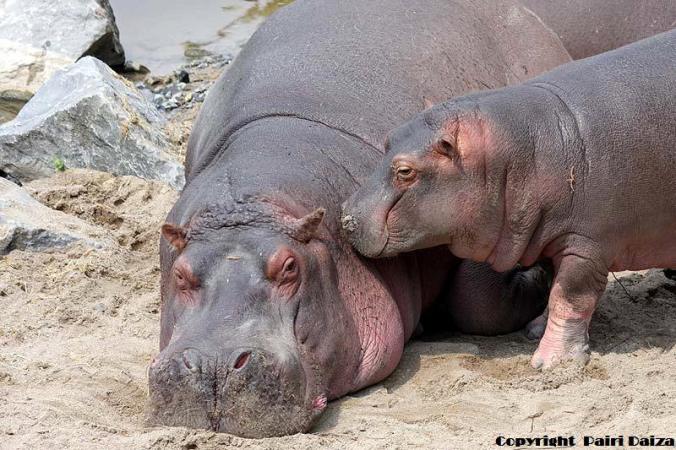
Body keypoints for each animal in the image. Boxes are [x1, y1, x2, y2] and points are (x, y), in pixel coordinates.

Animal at [147, 0, 571, 437]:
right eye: (180, 274)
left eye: (290, 267)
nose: (212, 366)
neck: (253, 206)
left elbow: (477, 300)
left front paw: (537, 281)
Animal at [341, 30, 676, 370]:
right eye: (389, 138)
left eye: (405, 171)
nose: (345, 216)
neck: (530, 148)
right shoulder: (550, 236)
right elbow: (553, 286)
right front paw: (535, 330)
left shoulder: (587, 244)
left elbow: (569, 297)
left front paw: (551, 362)